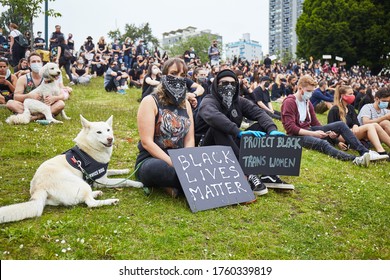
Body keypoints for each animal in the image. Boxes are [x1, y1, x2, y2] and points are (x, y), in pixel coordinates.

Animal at [0, 115, 143, 223]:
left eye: (108, 130)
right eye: (99, 132)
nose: (110, 139)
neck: (89, 149)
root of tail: (39, 188)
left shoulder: (104, 174)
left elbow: (115, 170)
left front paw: (125, 170)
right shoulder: (101, 181)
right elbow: (125, 181)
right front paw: (138, 183)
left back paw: (97, 193)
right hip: (82, 183)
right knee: (90, 203)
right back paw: (111, 201)